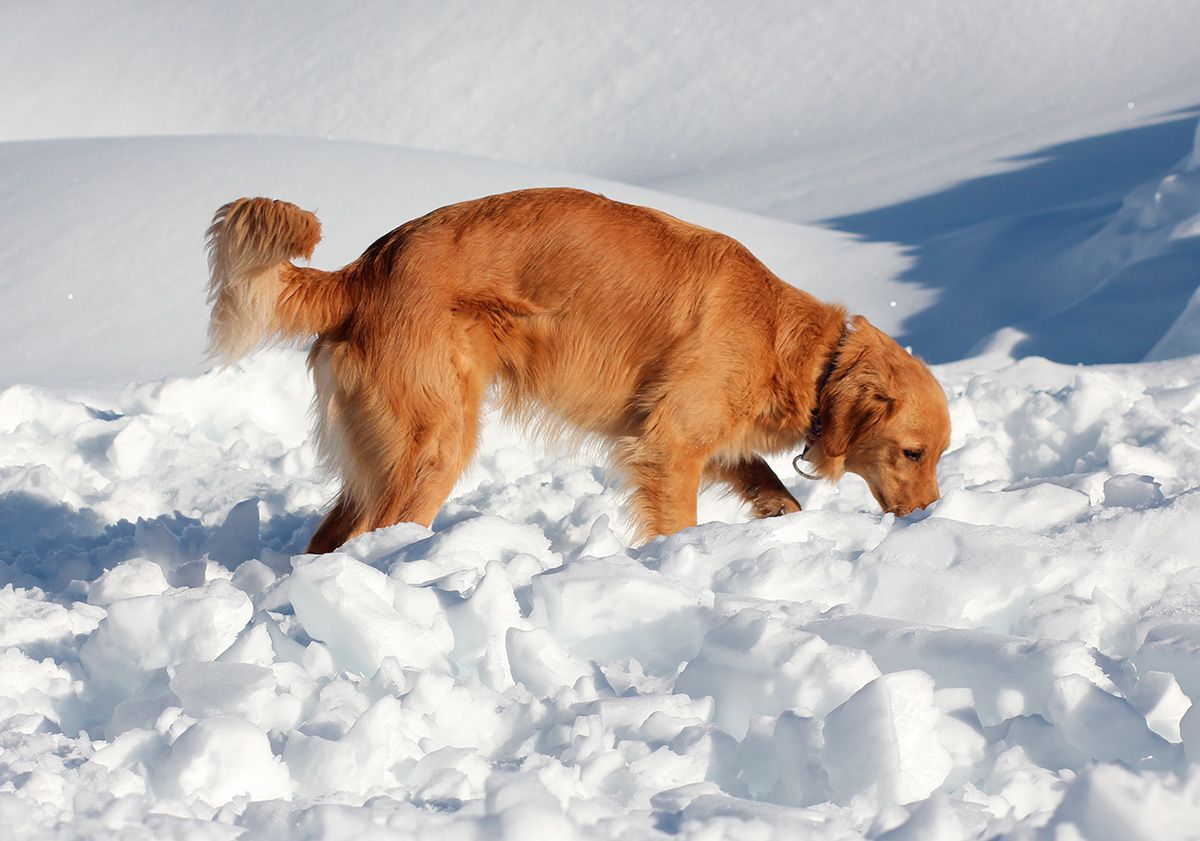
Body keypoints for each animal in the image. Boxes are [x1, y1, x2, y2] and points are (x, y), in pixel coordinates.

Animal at [208, 188, 955, 551]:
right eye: (913, 452)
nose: (932, 515)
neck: (798, 347)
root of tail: (362, 270)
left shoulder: (698, 435)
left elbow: (764, 479)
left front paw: (781, 515)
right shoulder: (669, 441)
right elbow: (679, 519)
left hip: (382, 454)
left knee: (327, 538)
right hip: (435, 442)